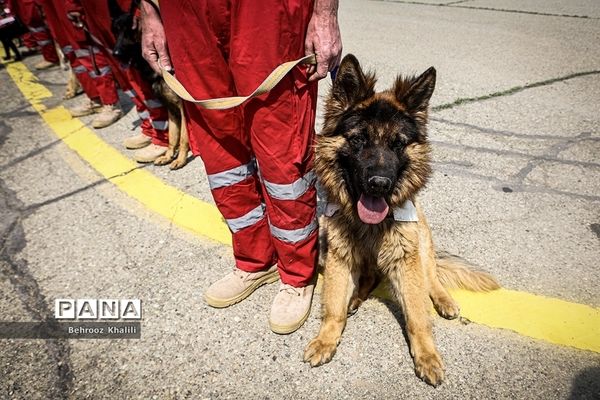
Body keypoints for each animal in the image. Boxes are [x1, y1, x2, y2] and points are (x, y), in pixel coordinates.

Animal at [110, 0, 189, 169]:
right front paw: (168, 156)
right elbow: (173, 135)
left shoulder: (184, 109)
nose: (116, 54)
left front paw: (180, 159)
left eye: (130, 31)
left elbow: (183, 137)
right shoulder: (171, 109)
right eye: (116, 32)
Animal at [302, 54, 500, 386]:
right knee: (370, 278)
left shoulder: (406, 260)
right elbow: (333, 307)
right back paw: (355, 298)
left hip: (421, 243)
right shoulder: (340, 257)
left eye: (398, 143)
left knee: (432, 277)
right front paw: (326, 339)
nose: (379, 184)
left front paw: (427, 356)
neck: (370, 225)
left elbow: (418, 316)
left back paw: (443, 300)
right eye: (358, 140)